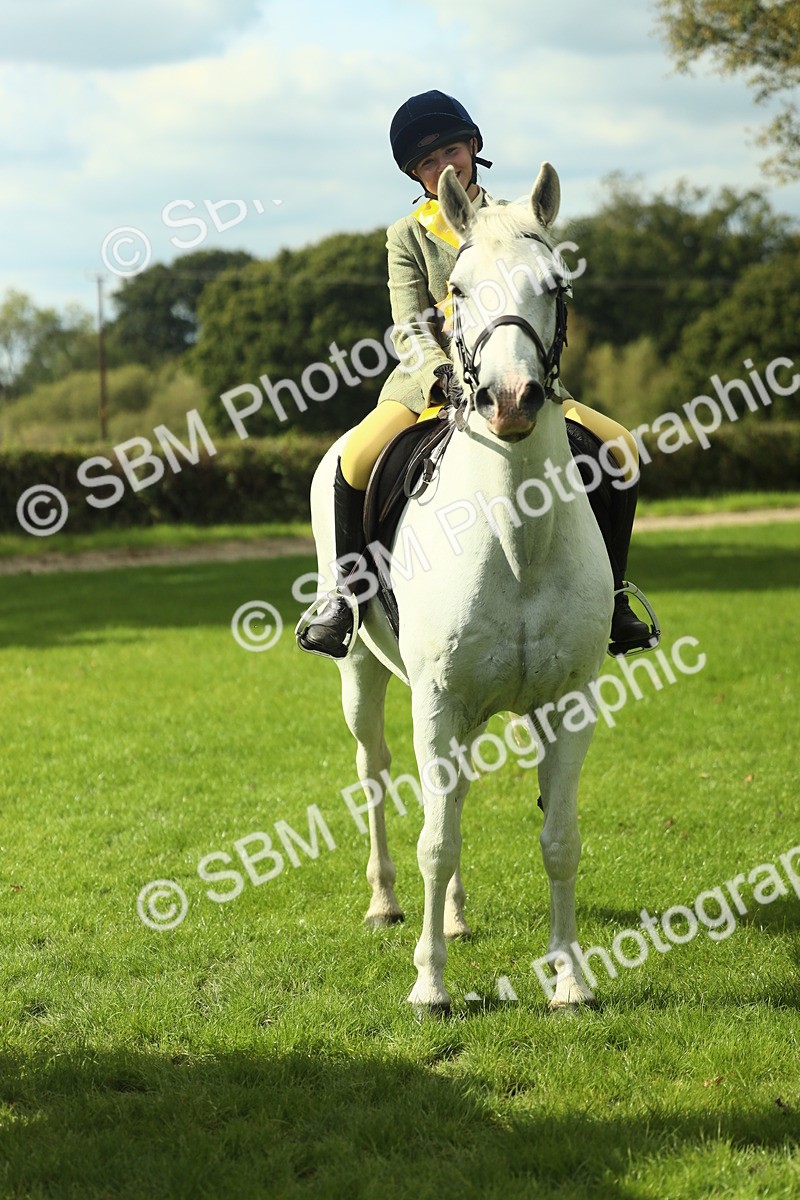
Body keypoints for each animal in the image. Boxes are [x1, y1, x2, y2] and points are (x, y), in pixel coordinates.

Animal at [304, 163, 613, 1012]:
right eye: (459, 289)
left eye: (555, 283)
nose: (510, 400)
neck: (515, 537)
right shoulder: (437, 699)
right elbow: (435, 841)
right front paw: (430, 985)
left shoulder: (568, 704)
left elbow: (561, 840)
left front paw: (569, 980)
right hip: (364, 676)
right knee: (377, 776)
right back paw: (386, 904)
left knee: (455, 792)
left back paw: (458, 916)